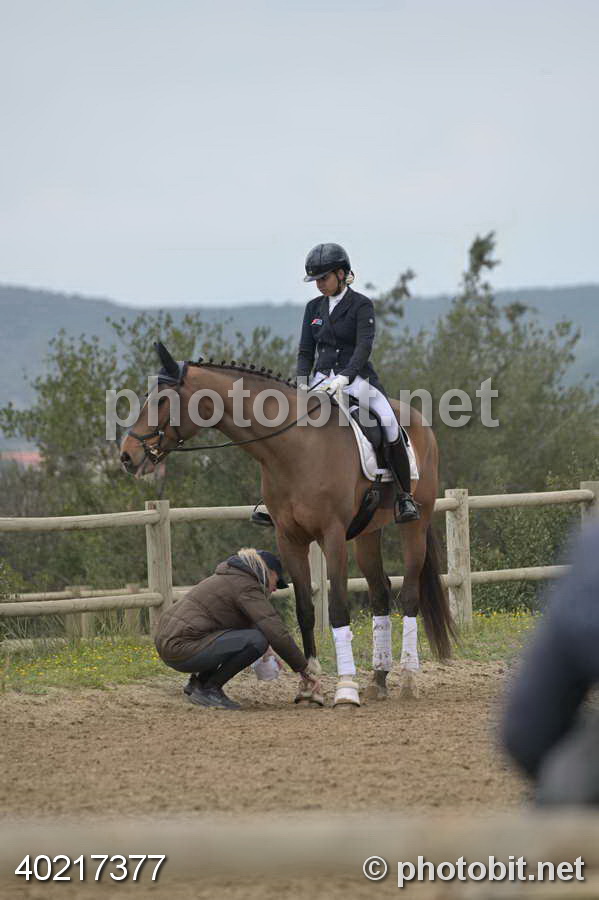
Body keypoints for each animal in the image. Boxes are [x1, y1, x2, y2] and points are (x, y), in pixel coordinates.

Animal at [120, 344, 455, 706]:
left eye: (161, 401)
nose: (127, 456)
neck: (295, 447)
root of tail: (418, 420)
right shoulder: (290, 538)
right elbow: (304, 609)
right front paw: (309, 685)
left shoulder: (332, 536)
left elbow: (337, 608)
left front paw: (345, 688)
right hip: (367, 533)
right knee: (380, 593)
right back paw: (379, 680)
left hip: (414, 525)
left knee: (409, 595)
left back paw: (407, 678)